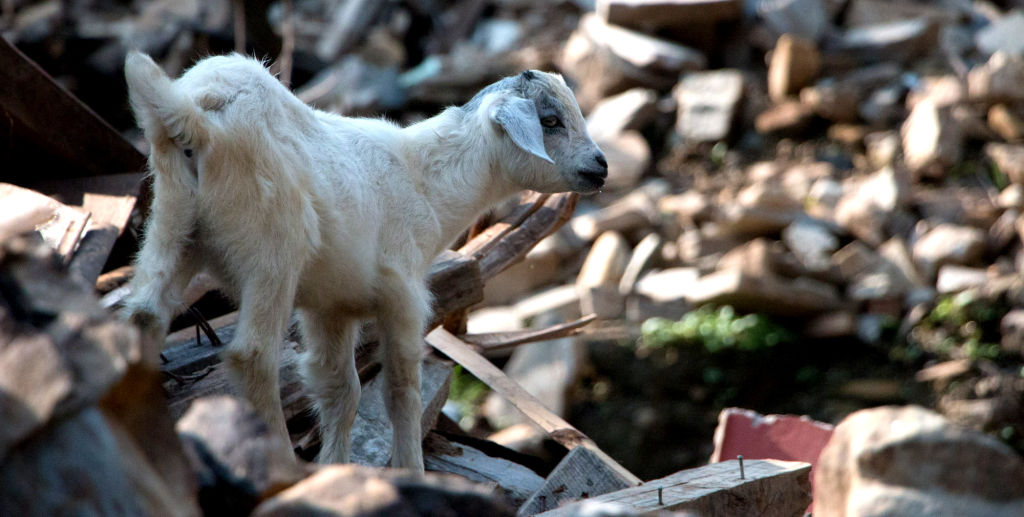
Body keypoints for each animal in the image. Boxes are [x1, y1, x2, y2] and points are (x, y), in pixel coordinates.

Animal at [121, 51, 607, 472]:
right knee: (251, 356)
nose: (600, 167)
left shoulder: (330, 306)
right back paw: (282, 463)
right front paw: (411, 469)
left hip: (173, 225)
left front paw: (336, 468)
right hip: (272, 248)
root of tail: (193, 113)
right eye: (550, 121)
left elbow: (341, 390)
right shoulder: (403, 293)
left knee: (144, 317)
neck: (430, 182)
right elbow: (402, 391)